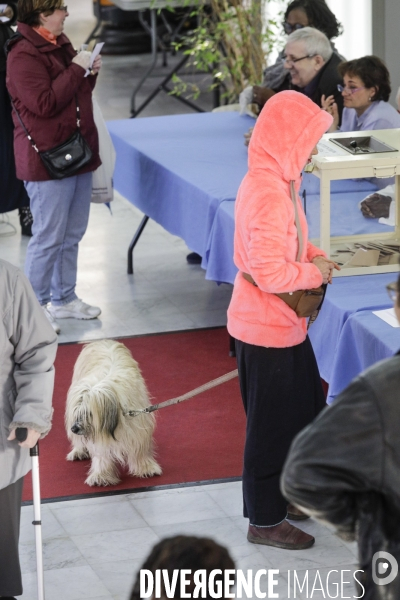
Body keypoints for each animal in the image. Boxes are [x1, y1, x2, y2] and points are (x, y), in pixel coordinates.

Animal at [65, 340, 162, 486]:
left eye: (89, 413)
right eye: (78, 412)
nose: (74, 428)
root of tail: (100, 340)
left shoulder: (138, 425)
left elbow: (139, 448)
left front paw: (146, 468)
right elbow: (101, 454)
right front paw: (101, 476)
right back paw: (78, 450)